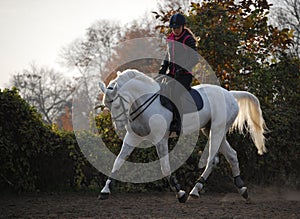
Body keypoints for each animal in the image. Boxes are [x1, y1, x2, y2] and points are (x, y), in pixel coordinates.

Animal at [98, 69, 268, 203]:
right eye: (107, 105)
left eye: (117, 103)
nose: (118, 128)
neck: (144, 103)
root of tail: (229, 94)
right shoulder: (133, 137)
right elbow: (118, 162)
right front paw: (105, 190)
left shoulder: (160, 139)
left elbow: (165, 167)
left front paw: (180, 193)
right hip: (210, 130)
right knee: (230, 155)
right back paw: (240, 190)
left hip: (217, 129)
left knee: (211, 159)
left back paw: (195, 190)